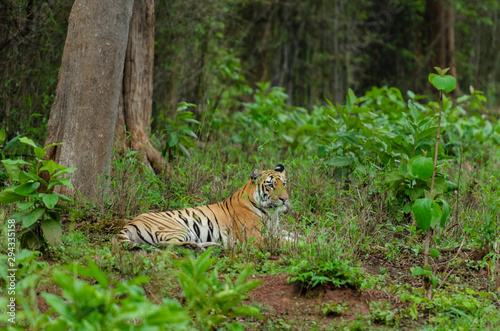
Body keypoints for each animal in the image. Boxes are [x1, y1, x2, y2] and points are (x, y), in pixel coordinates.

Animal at [117, 165, 292, 250]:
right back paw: (195, 246)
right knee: (163, 244)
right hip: (179, 229)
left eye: (283, 184)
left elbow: (292, 234)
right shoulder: (256, 237)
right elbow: (285, 242)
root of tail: (129, 224)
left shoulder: (275, 230)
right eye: (270, 185)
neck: (271, 213)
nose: (285, 199)